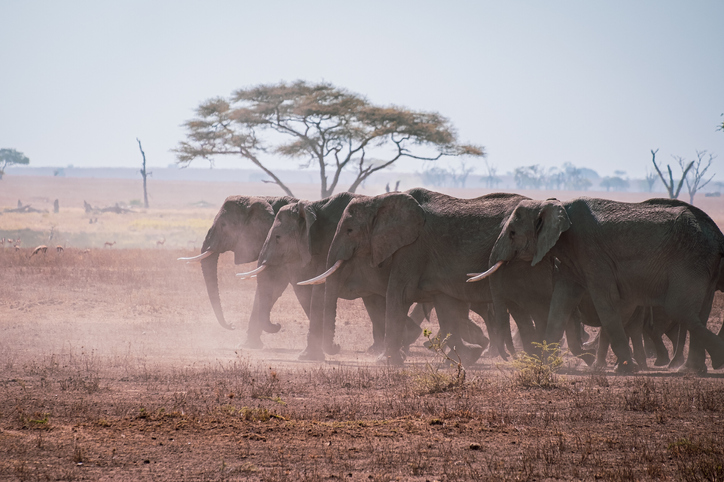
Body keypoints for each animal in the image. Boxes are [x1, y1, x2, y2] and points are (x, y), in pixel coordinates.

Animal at [179, 195, 299, 346]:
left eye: (224, 225)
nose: (232, 325)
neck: (266, 199)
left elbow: (274, 283)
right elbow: (270, 286)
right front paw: (250, 344)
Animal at [476, 196, 724, 373]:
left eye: (512, 233)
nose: (510, 358)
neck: (553, 204)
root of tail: (717, 233)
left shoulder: (592, 253)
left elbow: (605, 301)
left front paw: (627, 369)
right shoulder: (571, 258)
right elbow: (561, 302)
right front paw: (544, 364)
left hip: (690, 259)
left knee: (678, 308)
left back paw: (711, 362)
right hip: (703, 263)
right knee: (700, 310)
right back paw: (692, 370)